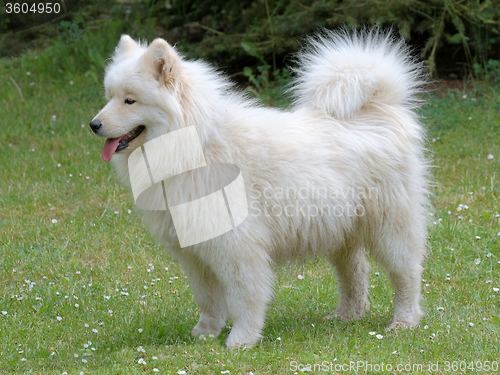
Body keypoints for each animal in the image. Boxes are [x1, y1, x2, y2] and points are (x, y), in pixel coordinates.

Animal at [89, 29, 426, 350]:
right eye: (109, 96)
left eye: (130, 101)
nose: (93, 124)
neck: (193, 147)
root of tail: (377, 106)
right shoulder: (194, 252)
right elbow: (208, 298)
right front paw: (205, 333)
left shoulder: (238, 247)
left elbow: (244, 298)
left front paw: (242, 340)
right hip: (339, 230)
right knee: (354, 273)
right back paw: (348, 315)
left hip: (389, 229)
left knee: (406, 275)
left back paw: (404, 322)